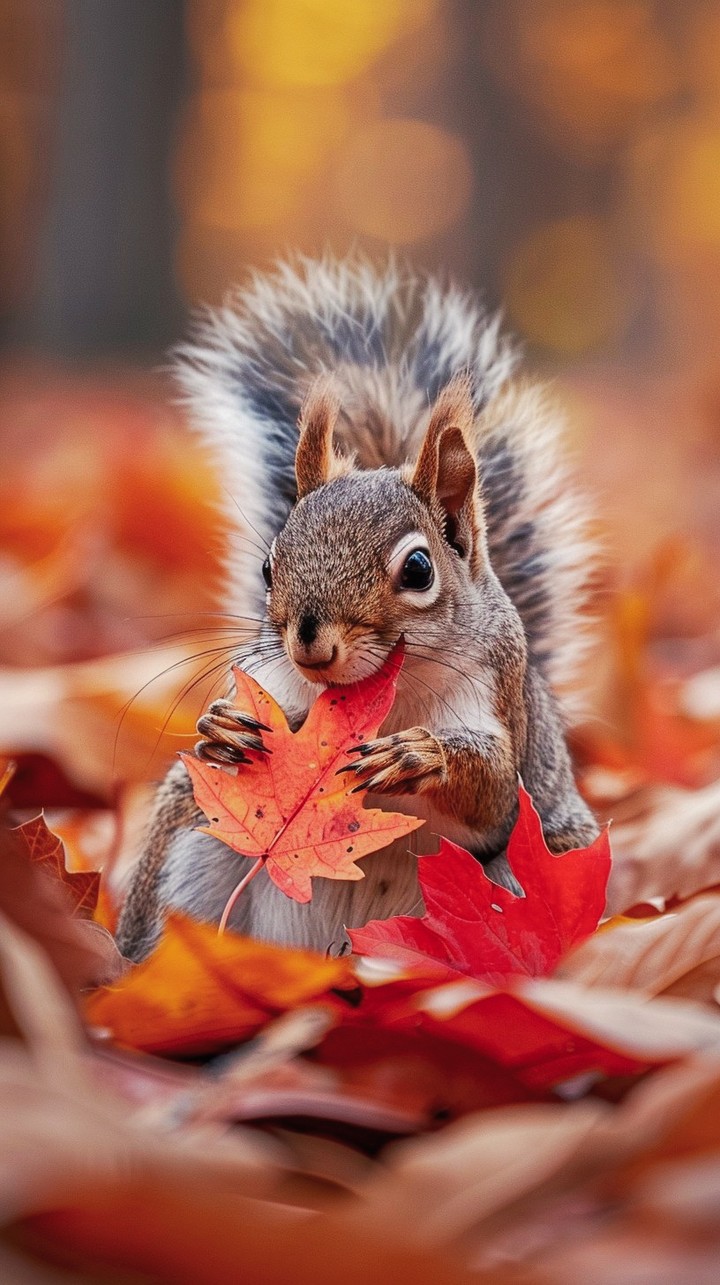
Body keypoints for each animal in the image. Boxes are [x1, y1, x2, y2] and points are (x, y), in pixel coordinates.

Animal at [116, 255, 599, 963]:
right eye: (268, 568)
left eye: (419, 569)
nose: (309, 641)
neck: (380, 694)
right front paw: (222, 727)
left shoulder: (495, 703)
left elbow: (492, 794)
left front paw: (419, 755)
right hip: (193, 840)